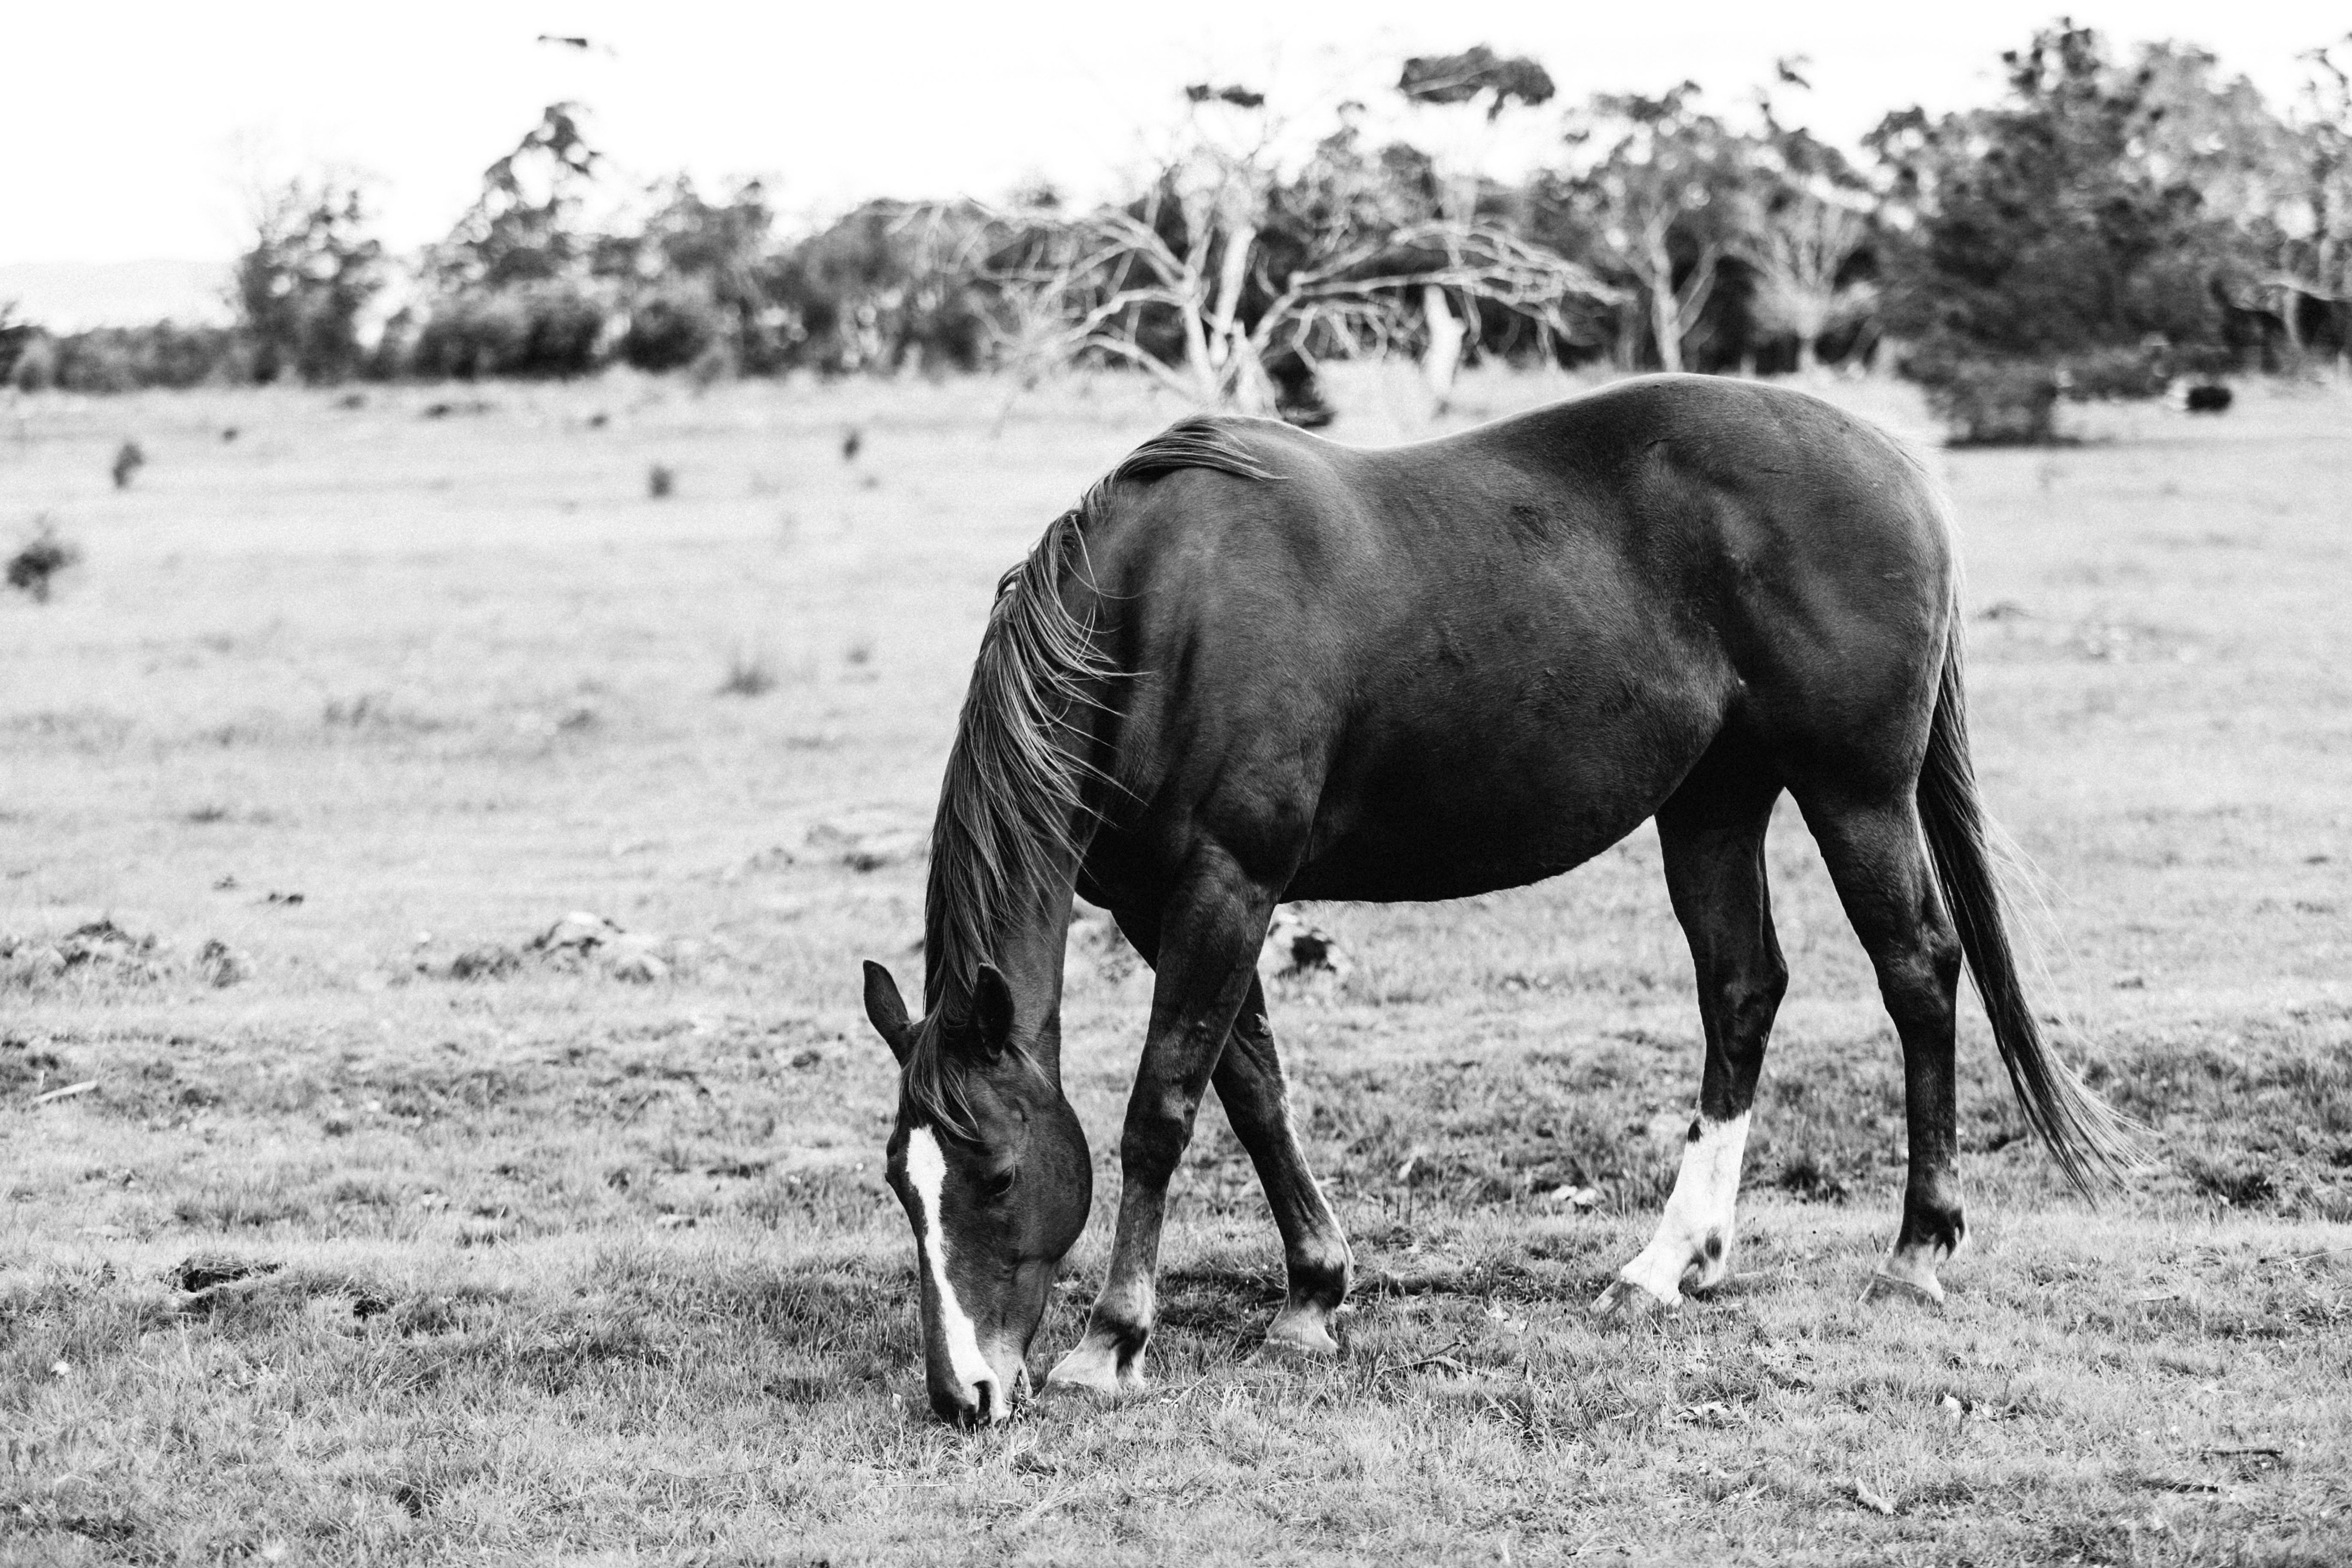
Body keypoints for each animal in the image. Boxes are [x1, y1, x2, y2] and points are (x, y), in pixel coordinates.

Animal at [858, 373, 2132, 1425]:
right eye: (900, 1185)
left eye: (996, 1175)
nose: (964, 1395)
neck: (1161, 617)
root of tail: (1891, 463)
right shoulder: (1163, 902)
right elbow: (1253, 1090)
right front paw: (1312, 1294)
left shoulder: (1227, 883)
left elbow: (1162, 1105)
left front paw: (1113, 1339)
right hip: (1713, 804)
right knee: (1741, 991)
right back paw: (1671, 1260)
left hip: (1855, 790)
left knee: (1916, 969)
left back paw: (1916, 1245)